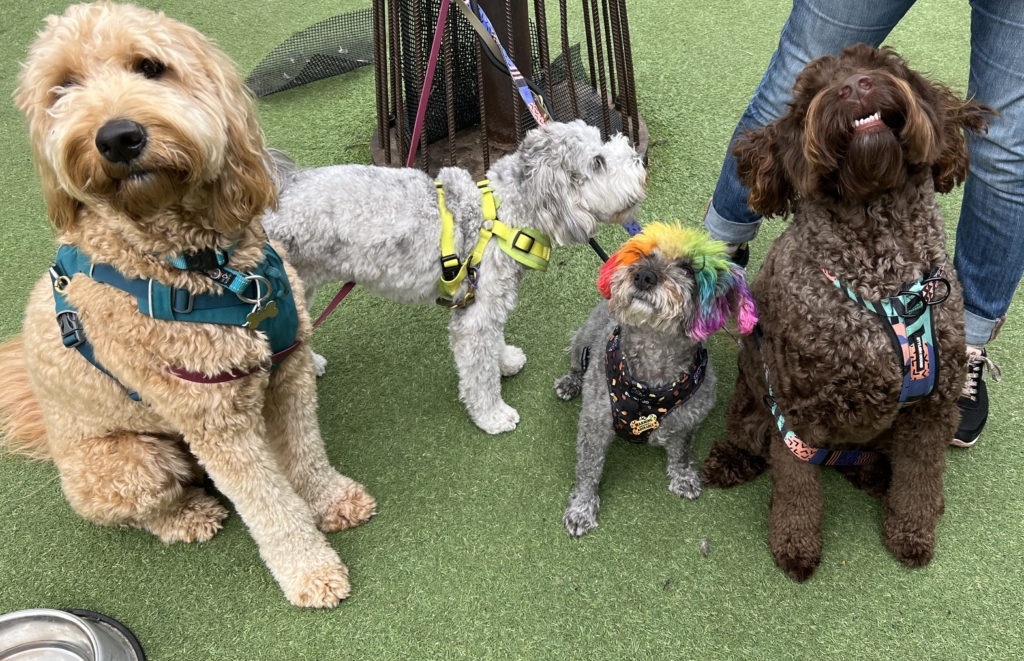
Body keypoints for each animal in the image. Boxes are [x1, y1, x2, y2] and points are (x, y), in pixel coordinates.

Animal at [0, 1, 376, 609]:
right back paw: (186, 517)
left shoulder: (288, 372)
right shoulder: (215, 421)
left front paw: (331, 500)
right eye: (63, 88)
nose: (116, 136)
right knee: (143, 508)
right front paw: (310, 572)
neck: (205, 265)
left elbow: (304, 452)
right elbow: (269, 503)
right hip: (131, 463)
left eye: (149, 67)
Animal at [264, 121, 647, 437]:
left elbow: (493, 345)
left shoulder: (486, 302)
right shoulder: (475, 318)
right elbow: (478, 372)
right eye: (597, 162)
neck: (503, 218)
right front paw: (493, 415)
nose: (639, 160)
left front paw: (505, 360)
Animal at [557, 225, 757, 536]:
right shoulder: (595, 424)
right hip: (583, 340)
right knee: (577, 362)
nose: (643, 275)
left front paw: (682, 476)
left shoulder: (689, 420)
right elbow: (588, 468)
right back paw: (570, 382)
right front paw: (582, 507)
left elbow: (681, 451)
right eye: (642, 256)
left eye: (687, 269)